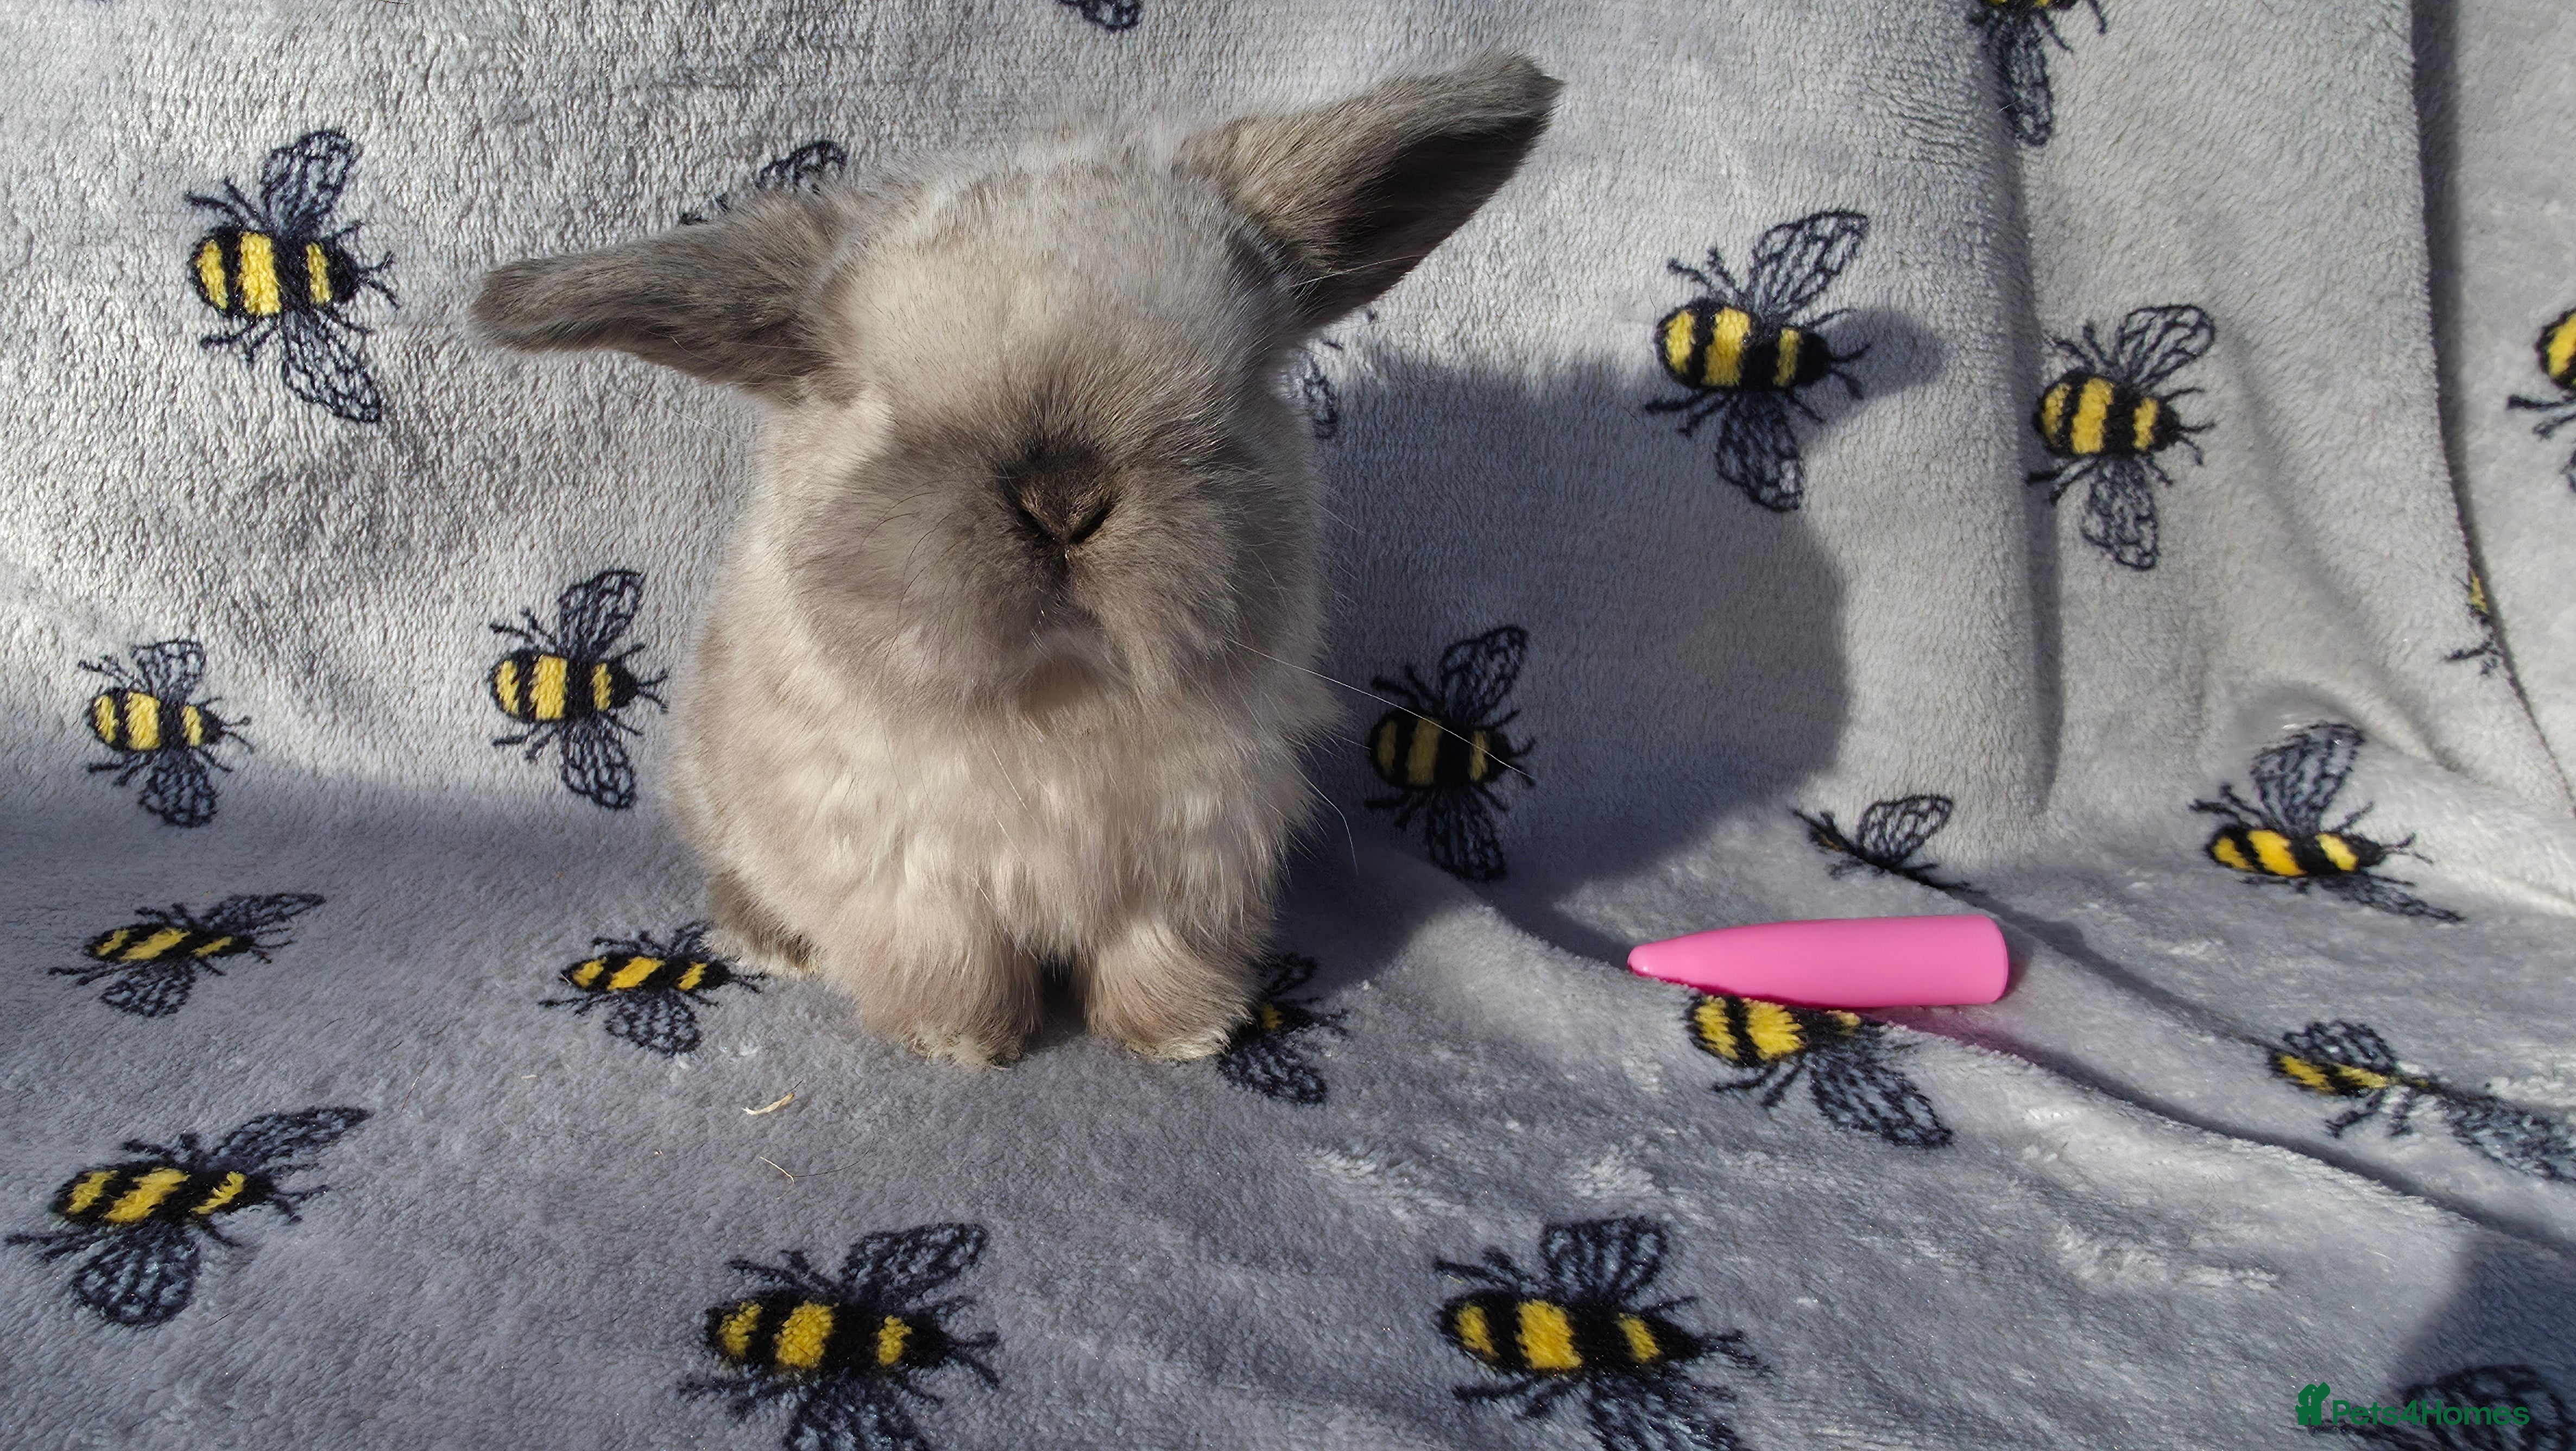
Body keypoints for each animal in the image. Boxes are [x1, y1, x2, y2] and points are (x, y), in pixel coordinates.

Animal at [473, 54, 1559, 1065]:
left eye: (1237, 384)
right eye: (878, 401)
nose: (1064, 499)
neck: (1058, 692)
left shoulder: (1191, 862)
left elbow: (1157, 955)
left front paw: (1178, 1035)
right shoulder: (905, 869)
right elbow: (952, 959)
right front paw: (961, 1041)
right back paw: (769, 941)